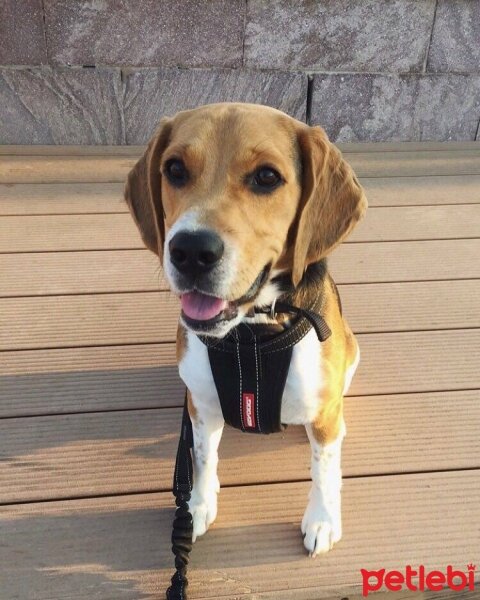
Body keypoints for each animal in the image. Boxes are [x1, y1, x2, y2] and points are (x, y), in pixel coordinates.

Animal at [124, 103, 368, 556]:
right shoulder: (201, 405)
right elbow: (203, 456)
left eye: (267, 177)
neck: (252, 333)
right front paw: (198, 504)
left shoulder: (324, 420)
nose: (191, 251)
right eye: (175, 169)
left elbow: (324, 470)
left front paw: (323, 519)